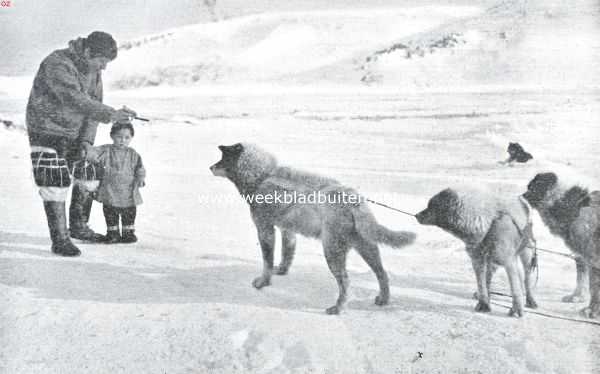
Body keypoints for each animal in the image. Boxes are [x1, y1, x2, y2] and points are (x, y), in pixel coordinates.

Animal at [209, 144, 414, 316]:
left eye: (223, 157)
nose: (210, 167)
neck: (262, 176)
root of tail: (353, 199)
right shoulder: (287, 231)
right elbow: (286, 254)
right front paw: (281, 271)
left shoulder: (265, 229)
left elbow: (267, 261)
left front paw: (262, 282)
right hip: (366, 247)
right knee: (382, 273)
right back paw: (383, 299)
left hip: (332, 252)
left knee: (346, 283)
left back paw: (337, 308)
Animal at [418, 188, 540, 318]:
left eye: (431, 206)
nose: (416, 215)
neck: (487, 226)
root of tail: (521, 200)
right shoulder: (478, 260)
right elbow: (481, 283)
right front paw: (483, 304)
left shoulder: (508, 262)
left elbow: (515, 286)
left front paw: (516, 309)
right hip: (493, 259)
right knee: (490, 277)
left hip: (526, 253)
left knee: (526, 279)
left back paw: (530, 300)